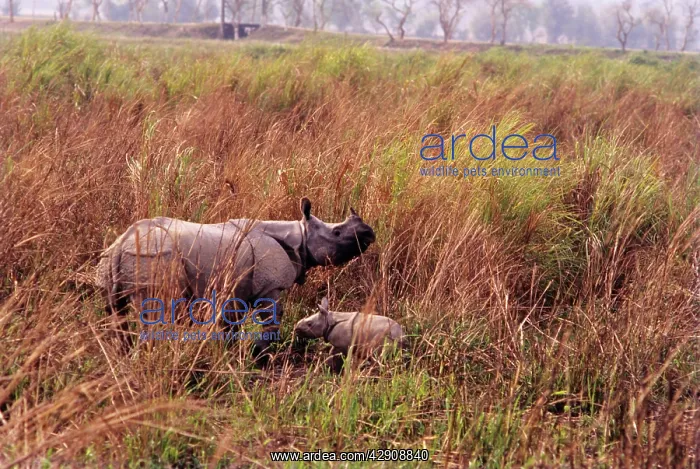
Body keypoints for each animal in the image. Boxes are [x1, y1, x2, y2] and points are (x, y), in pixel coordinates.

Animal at [96, 197, 376, 360]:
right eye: (337, 233)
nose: (370, 233)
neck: (301, 237)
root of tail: (121, 244)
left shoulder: (235, 286)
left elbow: (230, 323)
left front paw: (230, 351)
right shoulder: (270, 286)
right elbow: (272, 319)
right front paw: (260, 356)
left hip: (113, 261)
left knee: (116, 310)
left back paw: (123, 356)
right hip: (153, 256)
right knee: (154, 309)